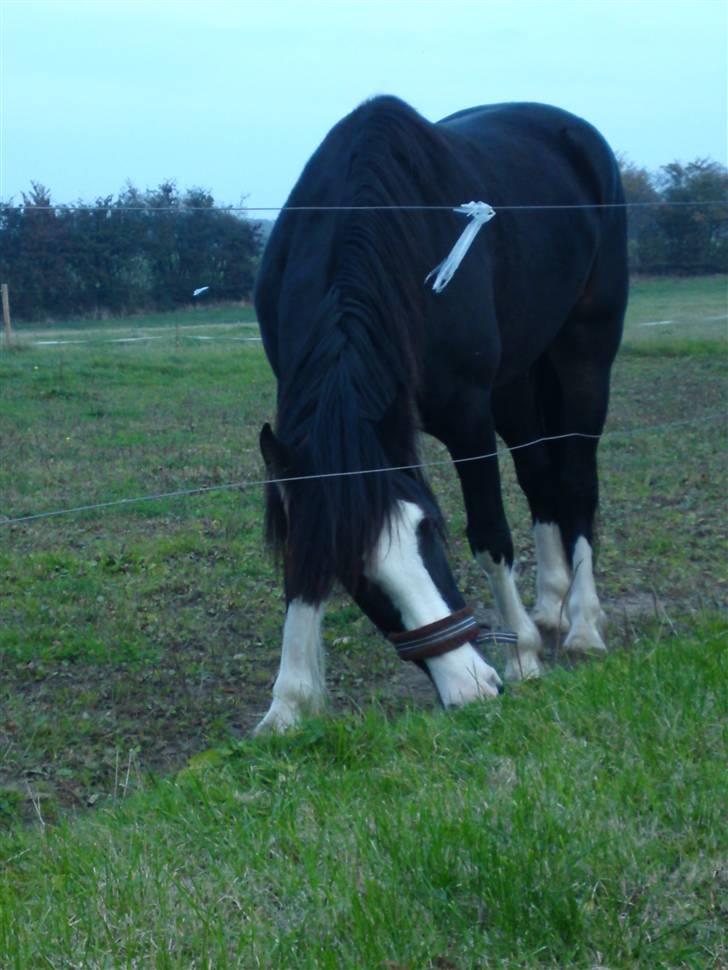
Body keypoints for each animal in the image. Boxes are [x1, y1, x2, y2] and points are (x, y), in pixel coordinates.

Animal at [253, 96, 628, 732]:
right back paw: (550, 605)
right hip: (518, 379)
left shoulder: (467, 416)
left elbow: (490, 534)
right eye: (359, 575)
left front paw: (521, 656)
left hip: (584, 353)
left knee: (578, 480)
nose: (473, 689)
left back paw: (580, 624)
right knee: (540, 477)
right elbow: (305, 549)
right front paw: (290, 702)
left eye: (429, 530)